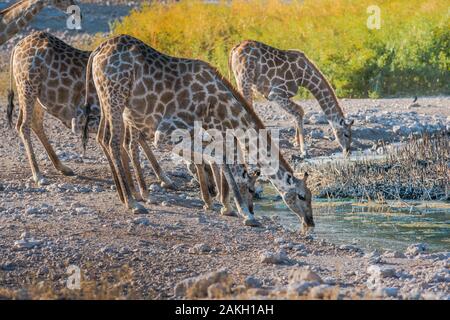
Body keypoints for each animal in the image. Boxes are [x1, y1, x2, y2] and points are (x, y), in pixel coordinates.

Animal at [80, 35, 312, 229]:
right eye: (302, 196)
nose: (310, 222)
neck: (220, 107)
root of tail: (97, 51)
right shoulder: (167, 131)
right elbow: (217, 159)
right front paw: (242, 212)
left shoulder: (204, 131)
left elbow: (217, 160)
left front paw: (223, 205)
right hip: (115, 97)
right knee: (114, 141)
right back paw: (133, 202)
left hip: (110, 101)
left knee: (105, 138)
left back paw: (127, 196)